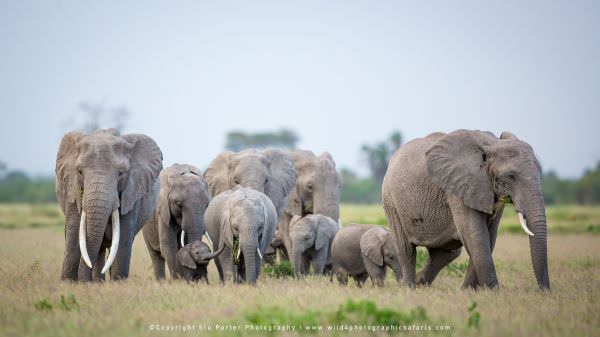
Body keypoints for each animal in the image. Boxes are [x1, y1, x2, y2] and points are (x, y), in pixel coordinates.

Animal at [55, 127, 163, 280]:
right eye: (79, 172)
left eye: (121, 173)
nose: (82, 280)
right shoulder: (72, 187)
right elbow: (75, 231)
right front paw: (68, 282)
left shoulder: (133, 193)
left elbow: (123, 236)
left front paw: (118, 282)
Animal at [382, 129, 552, 288]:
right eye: (510, 176)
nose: (545, 291)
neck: (492, 144)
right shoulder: (459, 187)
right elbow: (476, 236)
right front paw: (493, 292)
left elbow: (489, 237)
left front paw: (468, 291)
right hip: (390, 199)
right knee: (406, 249)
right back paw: (409, 287)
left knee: (447, 252)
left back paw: (420, 283)